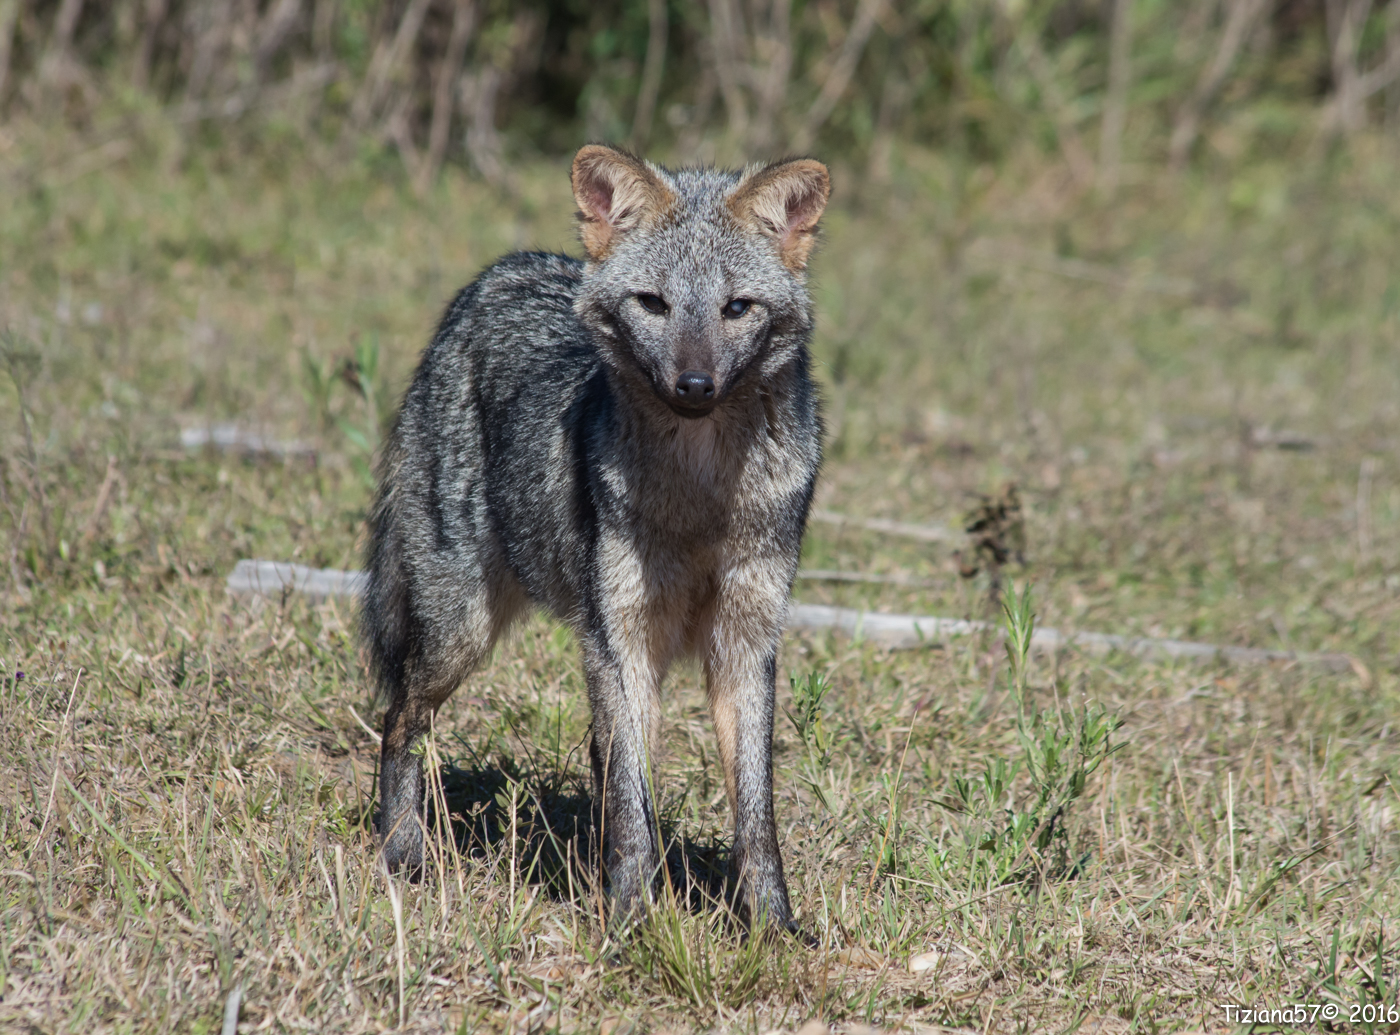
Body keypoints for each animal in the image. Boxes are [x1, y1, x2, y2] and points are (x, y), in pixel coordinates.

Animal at [361, 143, 830, 933]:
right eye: (654, 303)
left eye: (736, 307)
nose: (695, 385)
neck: (698, 500)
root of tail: (500, 272)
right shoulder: (623, 638)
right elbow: (635, 805)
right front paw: (634, 919)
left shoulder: (745, 641)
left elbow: (754, 810)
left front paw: (771, 925)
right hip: (459, 637)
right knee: (398, 723)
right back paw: (404, 855)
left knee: (596, 756)